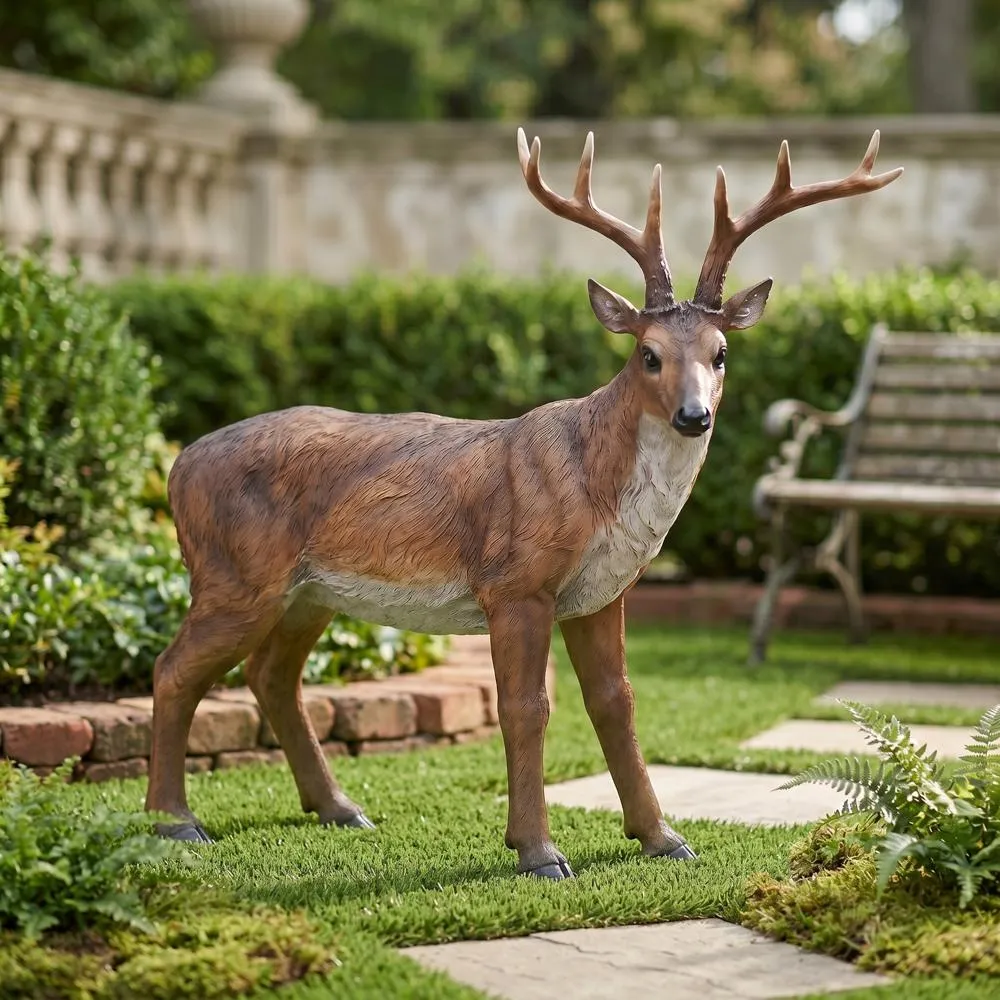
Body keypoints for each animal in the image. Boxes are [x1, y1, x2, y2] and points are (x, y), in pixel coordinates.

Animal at [147, 126, 902, 880]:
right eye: (648, 354)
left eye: (720, 353)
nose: (695, 416)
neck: (597, 490)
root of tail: (178, 465)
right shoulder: (515, 582)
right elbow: (526, 707)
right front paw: (538, 851)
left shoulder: (602, 592)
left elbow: (616, 703)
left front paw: (663, 837)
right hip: (235, 572)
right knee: (175, 668)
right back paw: (174, 821)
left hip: (309, 591)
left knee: (271, 674)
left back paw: (339, 808)